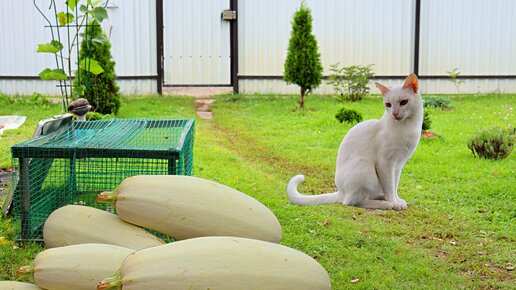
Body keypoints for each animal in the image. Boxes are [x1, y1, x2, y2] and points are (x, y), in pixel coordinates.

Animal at [286, 73, 424, 210]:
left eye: (404, 102)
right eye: (388, 105)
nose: (394, 114)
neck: (406, 128)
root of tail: (340, 192)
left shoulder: (398, 164)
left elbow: (394, 185)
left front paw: (397, 200)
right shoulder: (385, 163)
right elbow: (389, 187)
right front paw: (394, 202)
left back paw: (381, 198)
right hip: (365, 167)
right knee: (352, 202)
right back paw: (384, 204)